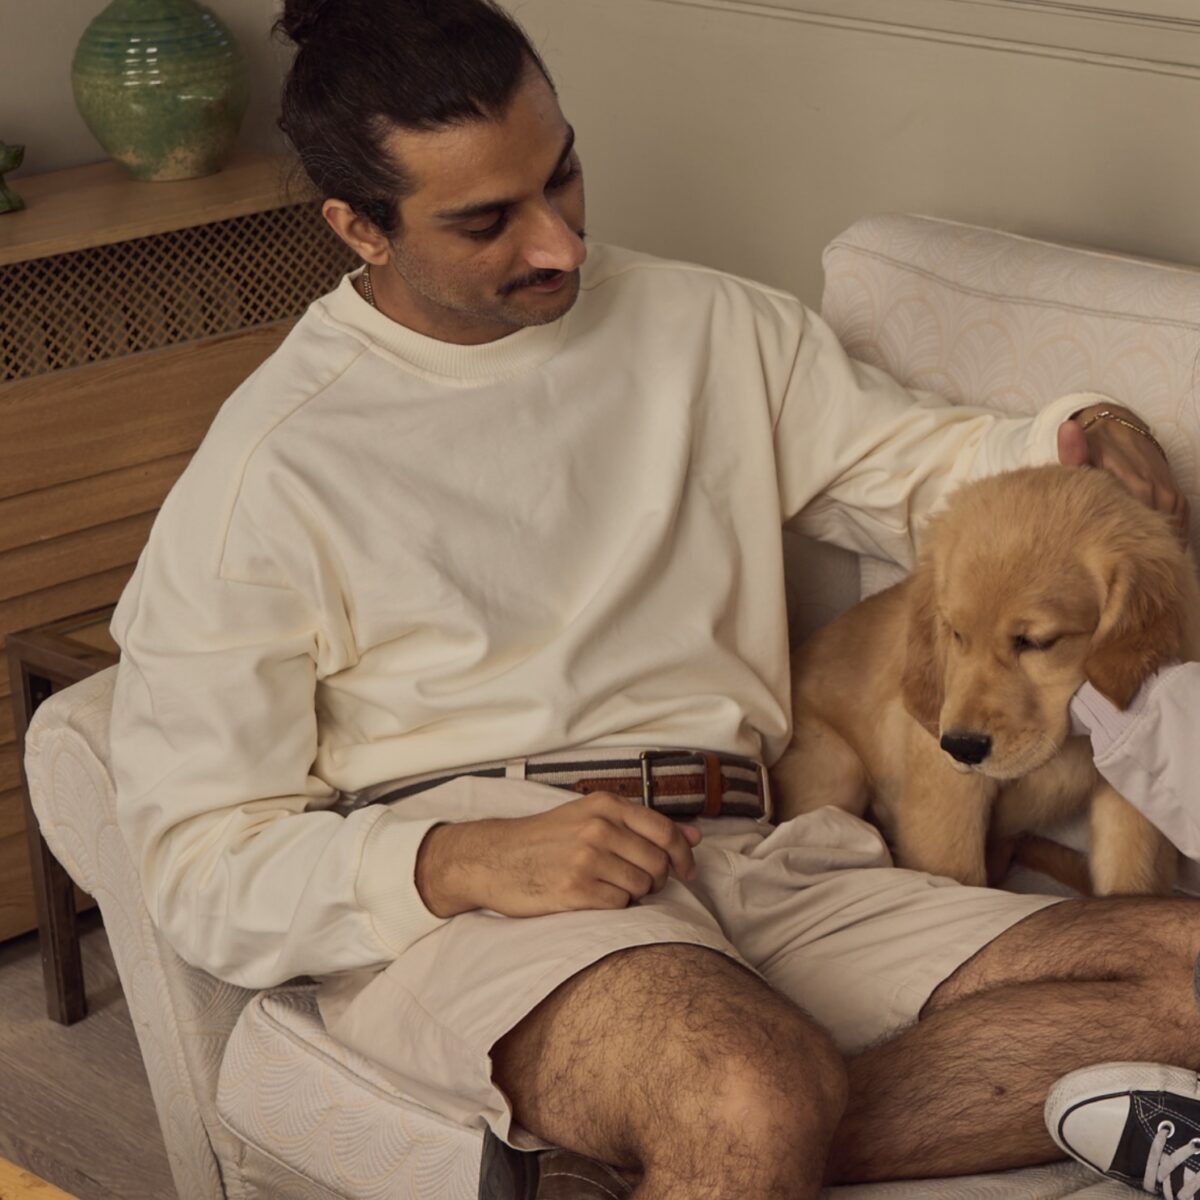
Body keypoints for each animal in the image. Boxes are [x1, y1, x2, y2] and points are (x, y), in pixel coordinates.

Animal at [771, 463, 1200, 896]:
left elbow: (1132, 874)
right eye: (955, 633)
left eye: (1035, 642)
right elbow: (956, 869)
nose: (962, 747)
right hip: (838, 768)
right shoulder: (946, 782)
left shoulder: (1129, 792)